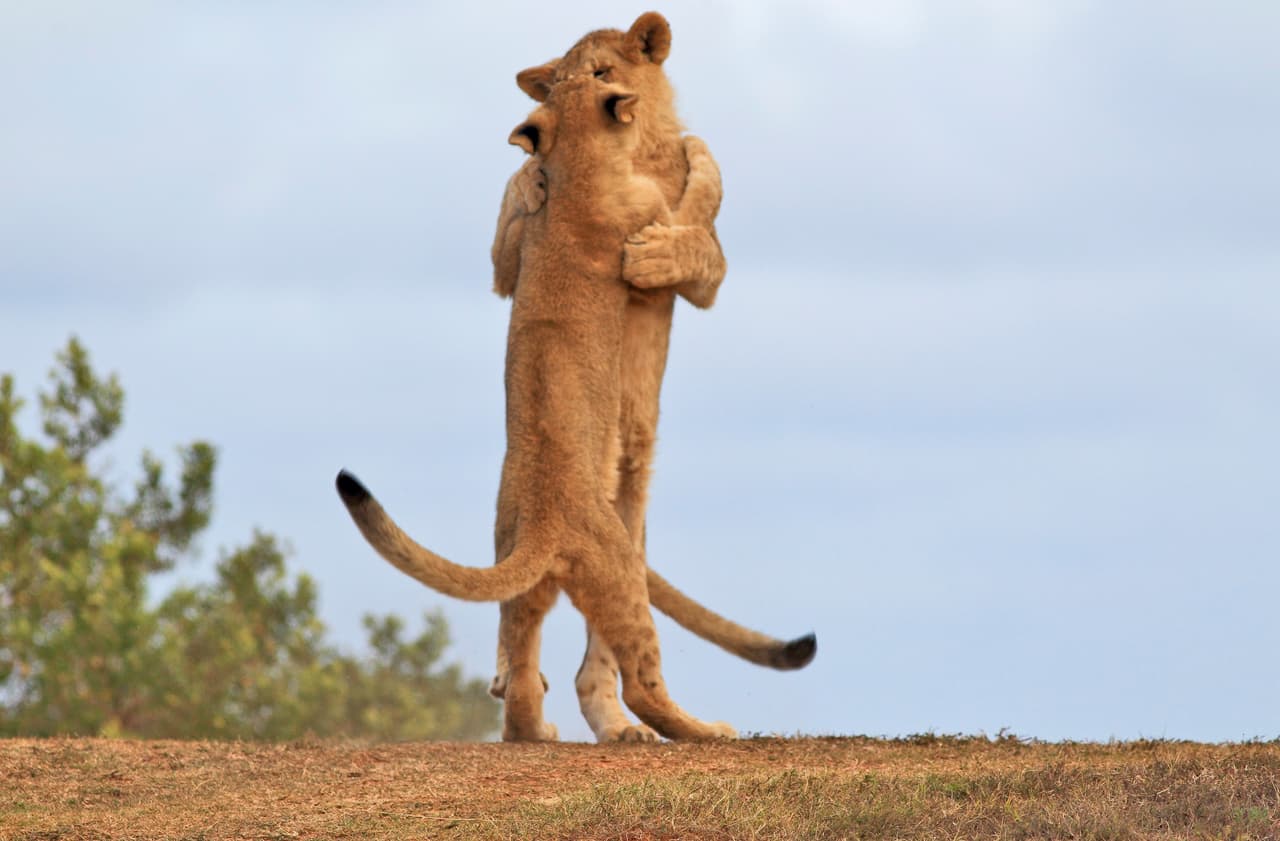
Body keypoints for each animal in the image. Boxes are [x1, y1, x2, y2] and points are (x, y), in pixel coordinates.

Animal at [338, 73, 735, 741]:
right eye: (598, 78)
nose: (609, 77)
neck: (577, 167)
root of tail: (547, 521)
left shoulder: (522, 243)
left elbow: (507, 250)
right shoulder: (650, 217)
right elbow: (692, 207)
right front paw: (701, 154)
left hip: (523, 586)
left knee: (521, 669)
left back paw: (536, 730)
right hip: (622, 571)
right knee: (642, 680)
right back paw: (704, 730)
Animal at [489, 11, 816, 743]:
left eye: (604, 70)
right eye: (559, 78)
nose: (593, 98)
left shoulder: (706, 278)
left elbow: (697, 223)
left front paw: (665, 230)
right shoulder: (506, 273)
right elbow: (508, 237)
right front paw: (528, 180)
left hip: (628, 509)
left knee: (600, 655)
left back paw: (614, 721)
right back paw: (512, 681)